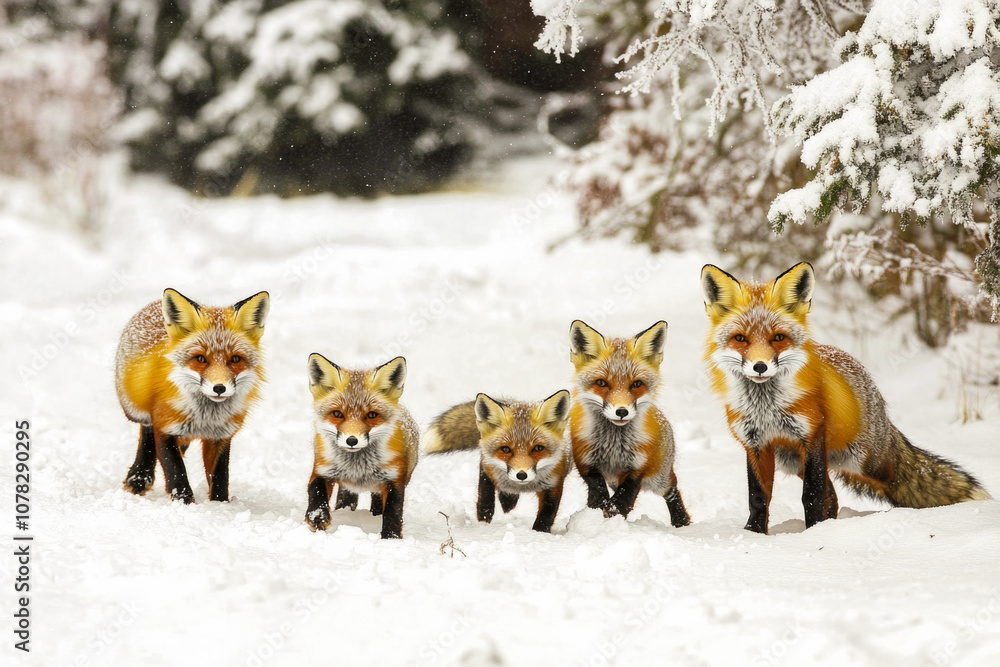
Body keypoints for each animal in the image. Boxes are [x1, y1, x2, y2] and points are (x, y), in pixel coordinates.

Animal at [116, 288, 270, 503]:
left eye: (235, 359)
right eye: (200, 358)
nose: (219, 388)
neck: (205, 418)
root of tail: (153, 305)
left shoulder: (221, 436)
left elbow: (220, 476)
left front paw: (220, 504)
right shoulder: (165, 428)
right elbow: (175, 471)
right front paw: (184, 502)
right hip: (135, 411)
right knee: (147, 434)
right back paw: (138, 477)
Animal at [304, 354, 418, 539]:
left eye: (371, 415)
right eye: (337, 414)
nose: (352, 441)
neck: (357, 468)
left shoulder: (394, 480)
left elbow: (393, 512)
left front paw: (391, 538)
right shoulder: (322, 469)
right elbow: (316, 491)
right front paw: (318, 516)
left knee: (377, 503)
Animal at [423, 390, 572, 533]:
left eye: (538, 448)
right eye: (505, 449)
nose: (521, 475)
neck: (523, 486)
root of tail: (518, 402)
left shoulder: (554, 483)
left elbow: (546, 515)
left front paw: (539, 533)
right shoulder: (487, 466)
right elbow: (485, 494)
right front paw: (484, 520)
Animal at [568, 320, 691, 526]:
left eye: (636, 384)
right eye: (601, 383)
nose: (621, 412)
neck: (613, 445)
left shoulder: (638, 467)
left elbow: (626, 495)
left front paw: (614, 513)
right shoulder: (586, 461)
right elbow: (597, 489)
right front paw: (597, 510)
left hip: (658, 479)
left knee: (672, 488)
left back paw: (681, 521)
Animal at [701, 262, 991, 534]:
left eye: (778, 338)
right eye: (740, 339)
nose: (759, 366)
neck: (766, 408)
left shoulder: (812, 436)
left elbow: (812, 496)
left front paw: (814, 533)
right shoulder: (756, 444)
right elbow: (759, 498)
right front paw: (755, 534)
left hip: (868, 464)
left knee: (899, 482)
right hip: (792, 461)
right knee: (834, 496)